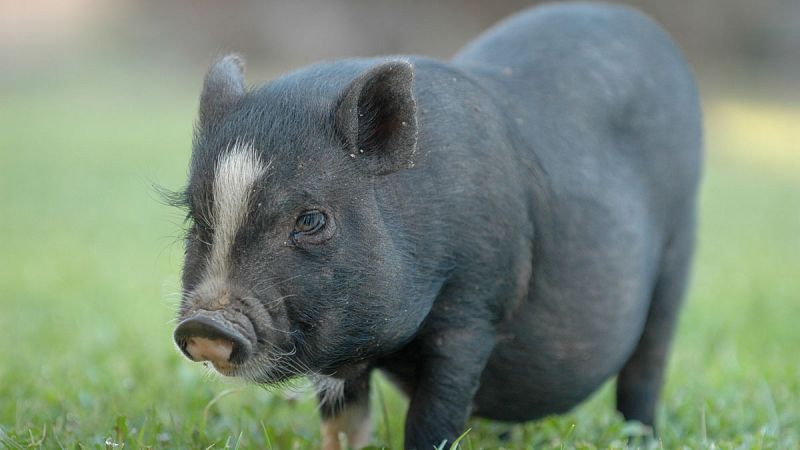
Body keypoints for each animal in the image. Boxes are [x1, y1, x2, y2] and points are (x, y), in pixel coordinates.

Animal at [171, 3, 701, 449]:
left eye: (311, 219)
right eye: (196, 217)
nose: (205, 322)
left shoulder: (474, 306)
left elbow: (433, 420)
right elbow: (343, 425)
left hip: (678, 251)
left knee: (646, 369)